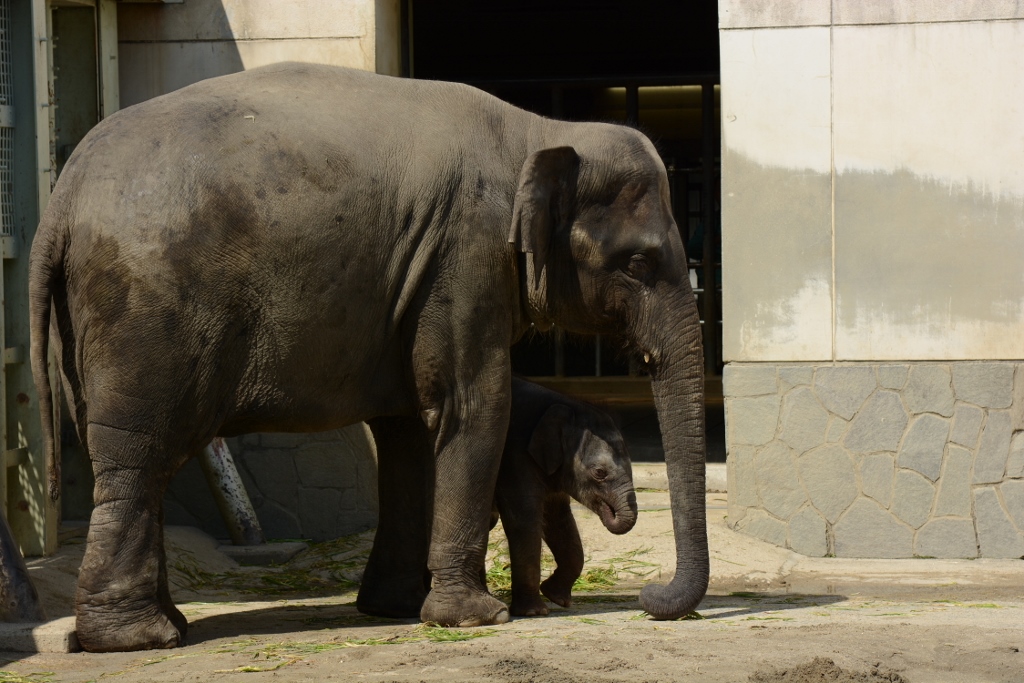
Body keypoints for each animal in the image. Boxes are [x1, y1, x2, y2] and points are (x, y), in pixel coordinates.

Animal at [493, 378, 634, 618]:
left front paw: (556, 597)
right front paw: (534, 612)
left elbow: (560, 520)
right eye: (599, 472)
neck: (564, 404)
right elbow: (524, 520)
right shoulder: (515, 456)